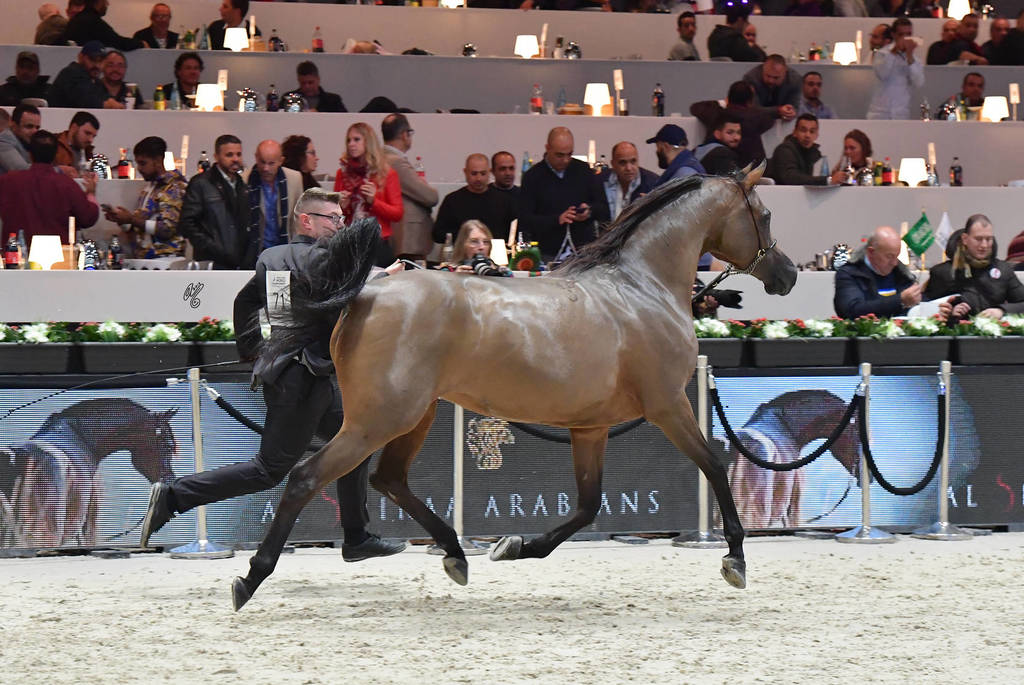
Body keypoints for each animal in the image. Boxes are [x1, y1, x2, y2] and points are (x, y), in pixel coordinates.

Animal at [231, 163, 797, 610]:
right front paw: (735, 559)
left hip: (414, 415)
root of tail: (363, 294)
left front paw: (515, 546)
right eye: (766, 215)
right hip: (378, 420)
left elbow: (588, 505)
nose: (787, 275)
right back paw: (251, 578)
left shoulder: (590, 427)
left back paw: (456, 554)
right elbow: (715, 467)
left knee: (387, 480)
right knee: (307, 477)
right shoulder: (668, 406)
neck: (641, 289)